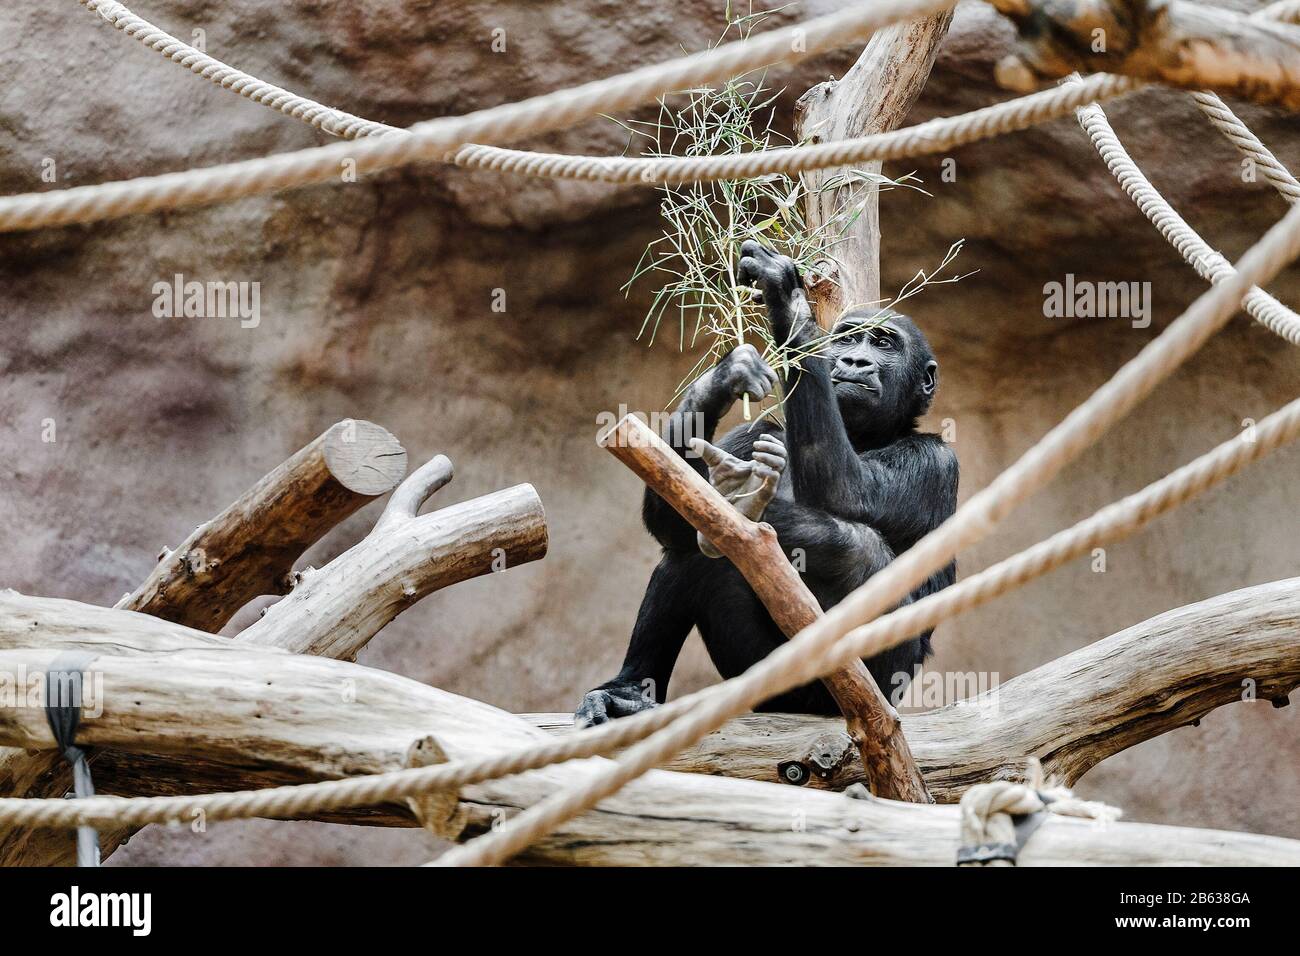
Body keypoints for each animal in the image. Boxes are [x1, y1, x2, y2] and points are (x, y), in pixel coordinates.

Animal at [577, 240, 956, 723]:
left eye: (883, 342)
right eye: (847, 337)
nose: (854, 360)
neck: (864, 435)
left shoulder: (935, 463)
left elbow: (847, 492)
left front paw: (789, 301)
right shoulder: (753, 431)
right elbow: (673, 513)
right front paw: (724, 378)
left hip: (874, 681)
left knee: (860, 550)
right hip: (755, 671)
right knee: (688, 551)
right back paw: (629, 691)